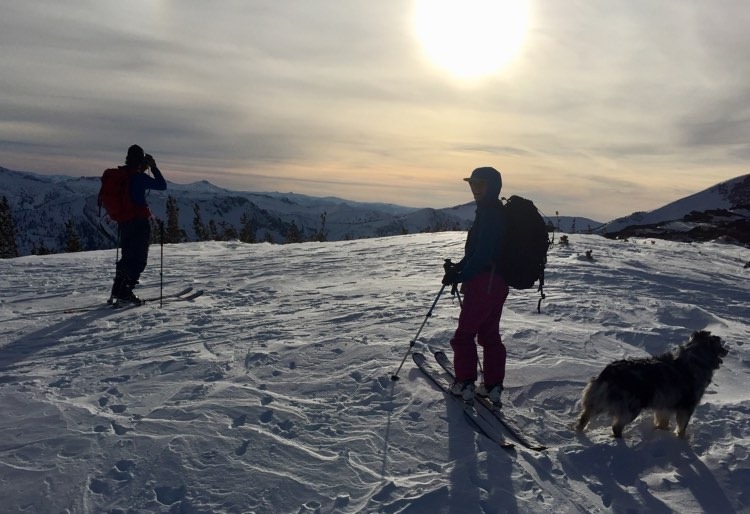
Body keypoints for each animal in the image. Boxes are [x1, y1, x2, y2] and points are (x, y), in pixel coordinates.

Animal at [576, 330, 728, 438]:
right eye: (721, 346)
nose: (728, 351)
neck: (697, 358)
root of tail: (609, 372)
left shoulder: (664, 405)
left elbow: (662, 421)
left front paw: (662, 430)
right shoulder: (687, 406)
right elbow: (682, 427)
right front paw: (683, 439)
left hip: (597, 402)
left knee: (584, 417)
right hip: (632, 408)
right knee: (616, 427)